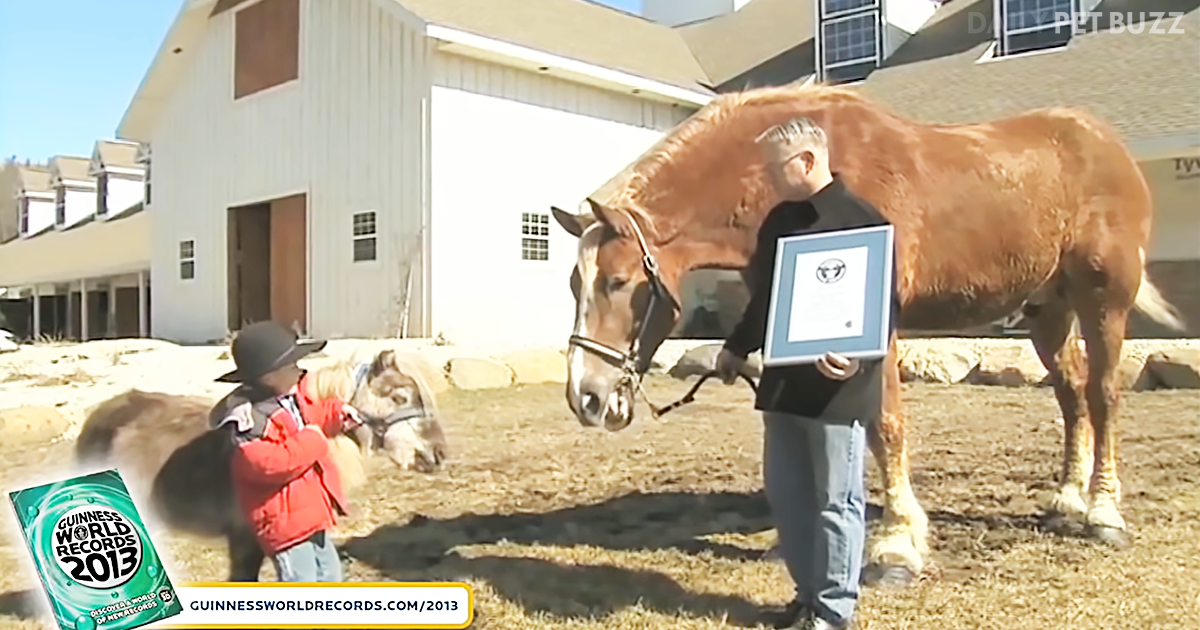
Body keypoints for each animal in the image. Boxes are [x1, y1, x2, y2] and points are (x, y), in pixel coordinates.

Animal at [549, 83, 1186, 585]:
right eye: (574, 281)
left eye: (618, 282)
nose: (586, 397)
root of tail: (1106, 145)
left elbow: (885, 424)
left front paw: (897, 542)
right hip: (1047, 311)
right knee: (1072, 395)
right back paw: (1068, 498)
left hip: (1103, 301)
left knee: (1102, 395)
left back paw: (1102, 512)